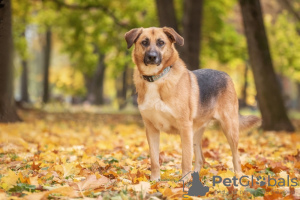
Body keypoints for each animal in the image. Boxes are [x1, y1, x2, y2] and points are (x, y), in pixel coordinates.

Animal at [124, 27, 260, 181]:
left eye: (161, 42)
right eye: (144, 42)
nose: (152, 57)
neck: (157, 79)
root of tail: (226, 74)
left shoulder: (184, 127)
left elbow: (186, 159)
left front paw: (184, 181)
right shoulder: (151, 129)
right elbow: (154, 159)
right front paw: (154, 181)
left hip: (229, 128)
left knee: (235, 156)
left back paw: (238, 175)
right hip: (195, 132)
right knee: (201, 158)